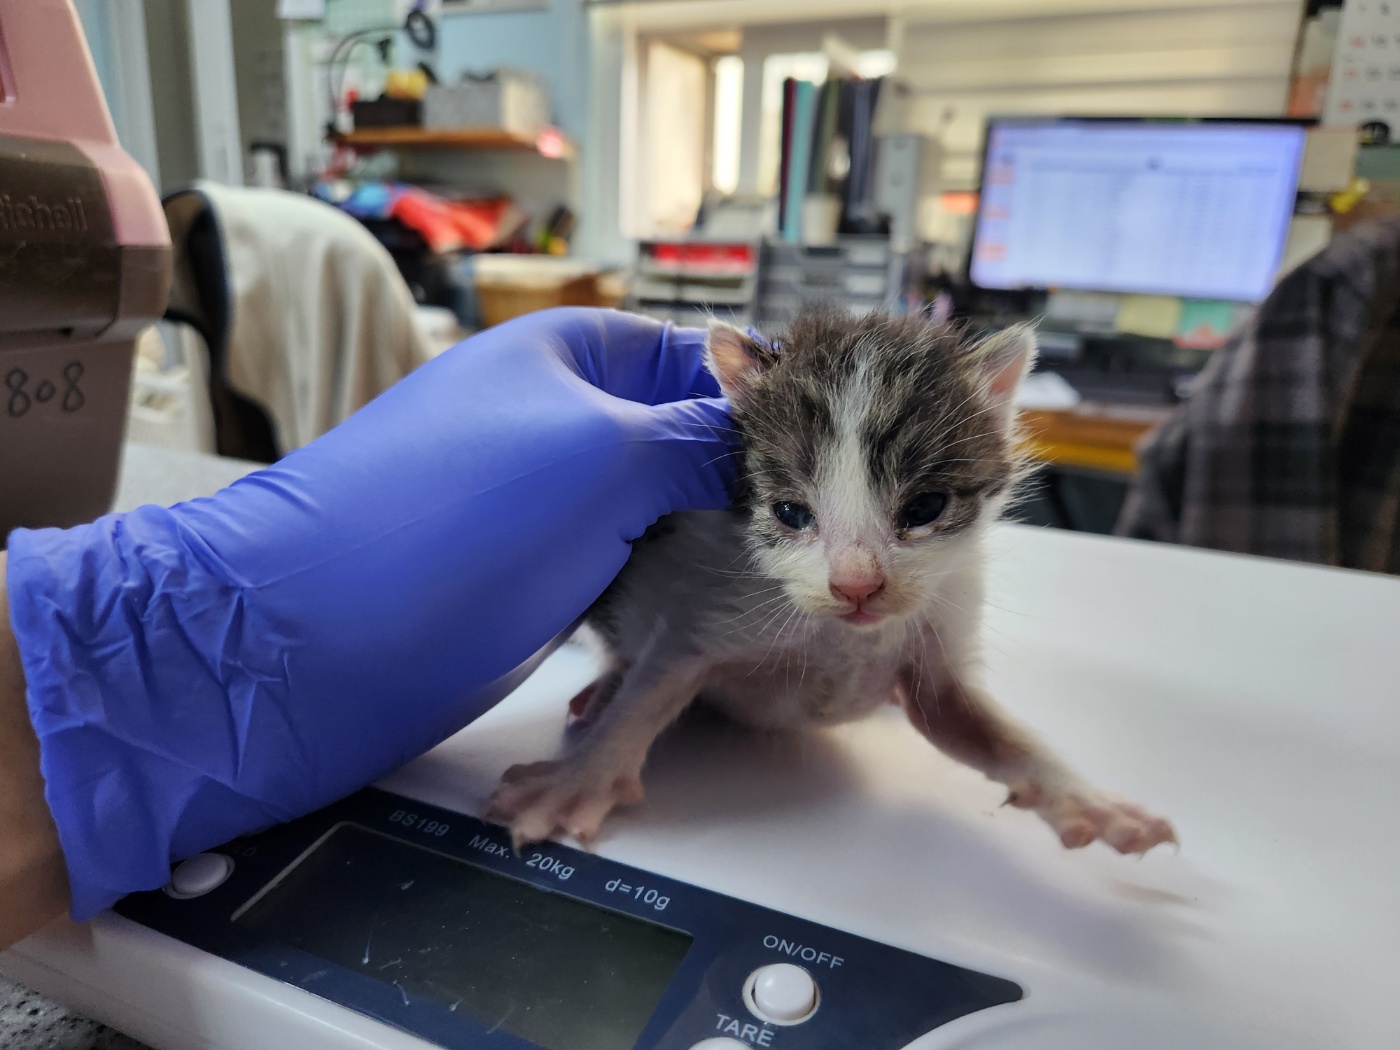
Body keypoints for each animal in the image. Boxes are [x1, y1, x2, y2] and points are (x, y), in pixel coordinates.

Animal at [487, 303, 1176, 856]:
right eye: (791, 513)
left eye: (925, 508)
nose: (856, 586)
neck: (845, 635)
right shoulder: (707, 612)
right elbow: (653, 688)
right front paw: (578, 779)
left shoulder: (936, 638)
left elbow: (981, 730)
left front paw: (1090, 803)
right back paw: (602, 690)